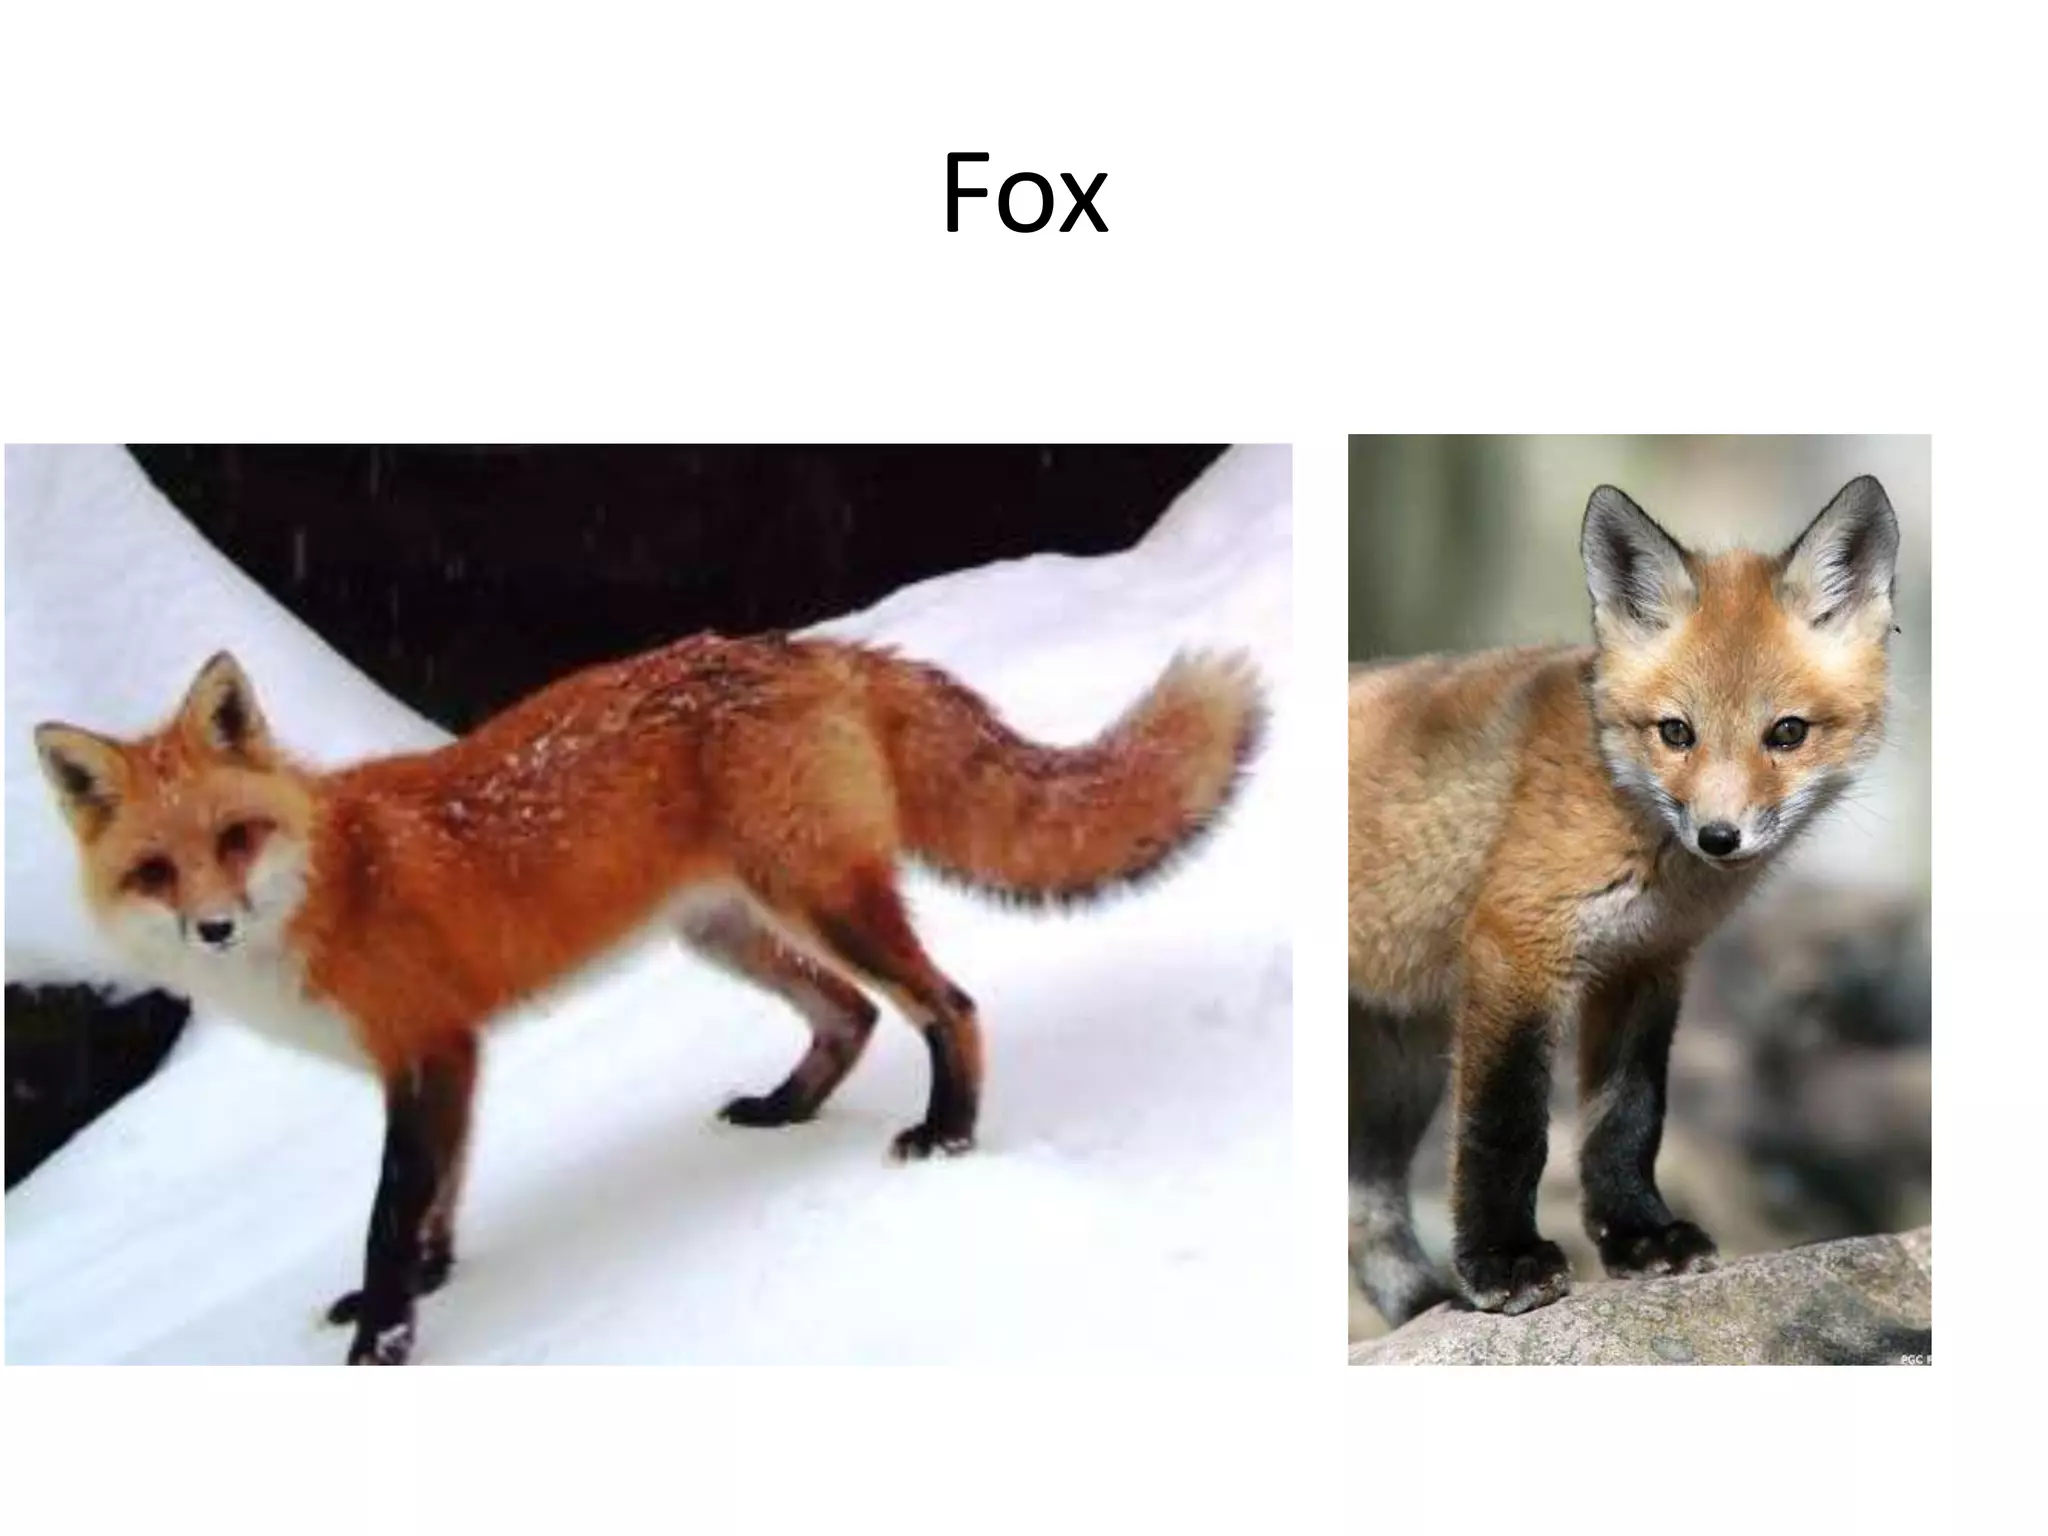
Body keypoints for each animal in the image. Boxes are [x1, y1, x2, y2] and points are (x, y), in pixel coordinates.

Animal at [35, 632, 1264, 1364]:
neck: (334, 882)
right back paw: (784, 1112)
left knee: (946, 1006)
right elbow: (437, 1205)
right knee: (853, 1016)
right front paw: (431, 1285)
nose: (214, 926)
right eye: (157, 869)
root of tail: (812, 648)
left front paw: (384, 1337)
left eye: (236, 838)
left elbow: (390, 1217)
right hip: (728, 933)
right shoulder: (451, 1059)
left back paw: (948, 1134)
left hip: (818, 903)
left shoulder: (427, 1047)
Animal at [1348, 476, 1899, 1326]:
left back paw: (1419, 1302)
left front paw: (1642, 1239)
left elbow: (1628, 1120)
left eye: (1787, 733)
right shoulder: (1517, 946)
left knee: (1364, 1206)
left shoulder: (1646, 964)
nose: (1719, 837)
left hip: (1399, 1069)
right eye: (1676, 732)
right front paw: (1505, 1261)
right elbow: (1507, 1127)